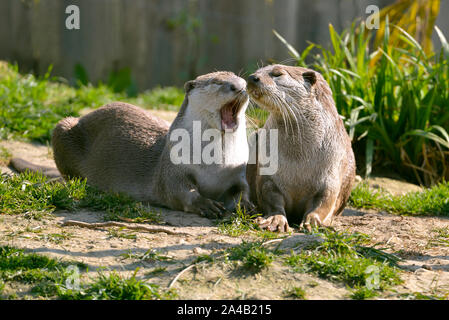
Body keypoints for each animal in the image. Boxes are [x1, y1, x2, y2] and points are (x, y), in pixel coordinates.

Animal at [10, 71, 254, 219]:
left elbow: (242, 190)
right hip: (63, 127)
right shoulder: (171, 167)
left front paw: (248, 206)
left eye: (240, 79)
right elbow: (177, 191)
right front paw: (205, 204)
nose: (240, 87)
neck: (215, 164)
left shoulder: (238, 172)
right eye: (217, 82)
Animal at [245, 63, 354, 231]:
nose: (252, 77)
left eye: (277, 74)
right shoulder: (268, 176)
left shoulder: (331, 173)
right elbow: (270, 197)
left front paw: (315, 222)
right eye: (257, 71)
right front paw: (274, 219)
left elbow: (324, 201)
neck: (299, 161)